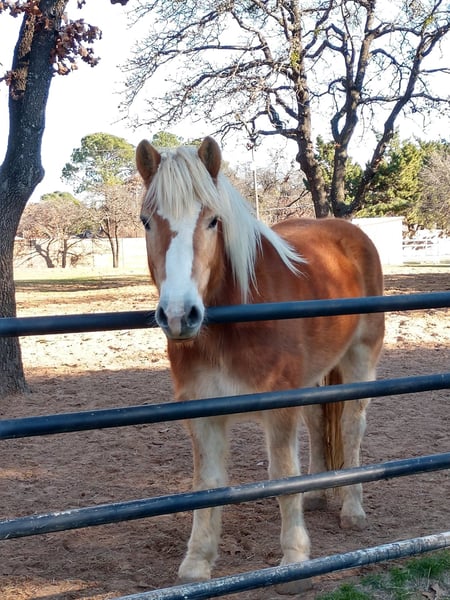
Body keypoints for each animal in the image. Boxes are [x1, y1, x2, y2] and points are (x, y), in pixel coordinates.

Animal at [136, 136, 384, 593]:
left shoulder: (278, 407)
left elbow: (282, 475)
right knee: (319, 423)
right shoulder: (203, 413)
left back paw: (352, 509)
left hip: (360, 361)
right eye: (146, 221)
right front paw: (197, 564)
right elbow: (207, 484)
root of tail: (350, 232)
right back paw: (317, 493)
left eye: (213, 221)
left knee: (352, 429)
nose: (179, 316)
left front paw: (294, 560)